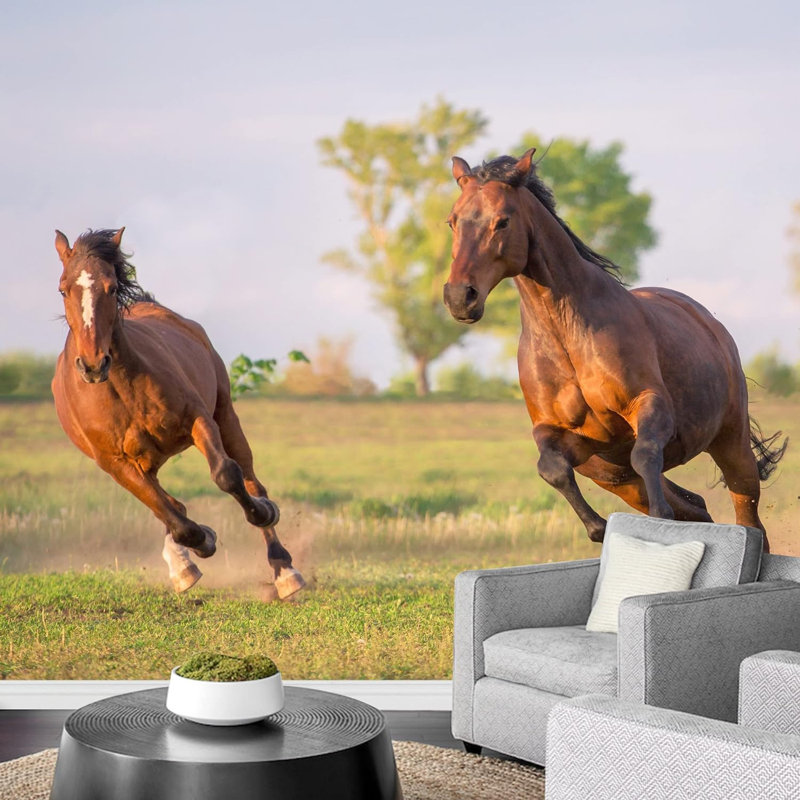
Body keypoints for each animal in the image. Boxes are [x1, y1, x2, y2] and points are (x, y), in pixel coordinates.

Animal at [52, 227, 305, 598]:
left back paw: (284, 567)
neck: (123, 389)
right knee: (171, 507)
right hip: (146, 463)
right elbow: (171, 517)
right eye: (63, 289)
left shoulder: (199, 420)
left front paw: (262, 517)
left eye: (111, 287)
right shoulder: (115, 463)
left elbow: (226, 475)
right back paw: (183, 565)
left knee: (249, 479)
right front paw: (202, 543)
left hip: (226, 416)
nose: (93, 364)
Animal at [443, 149, 787, 550]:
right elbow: (552, 468)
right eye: (452, 222)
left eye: (502, 221)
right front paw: (599, 529)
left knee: (748, 518)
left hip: (731, 444)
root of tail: (710, 324)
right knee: (698, 509)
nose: (459, 297)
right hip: (618, 479)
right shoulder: (562, 434)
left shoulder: (649, 405)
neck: (567, 335)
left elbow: (646, 455)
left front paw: (653, 523)